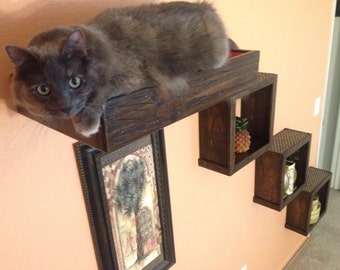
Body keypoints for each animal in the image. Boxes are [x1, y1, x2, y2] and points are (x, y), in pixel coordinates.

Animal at [5, 1, 230, 137]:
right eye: (43, 89)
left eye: (74, 81)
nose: (65, 107)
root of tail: (206, 7)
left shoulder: (130, 76)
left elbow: (98, 93)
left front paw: (85, 124)